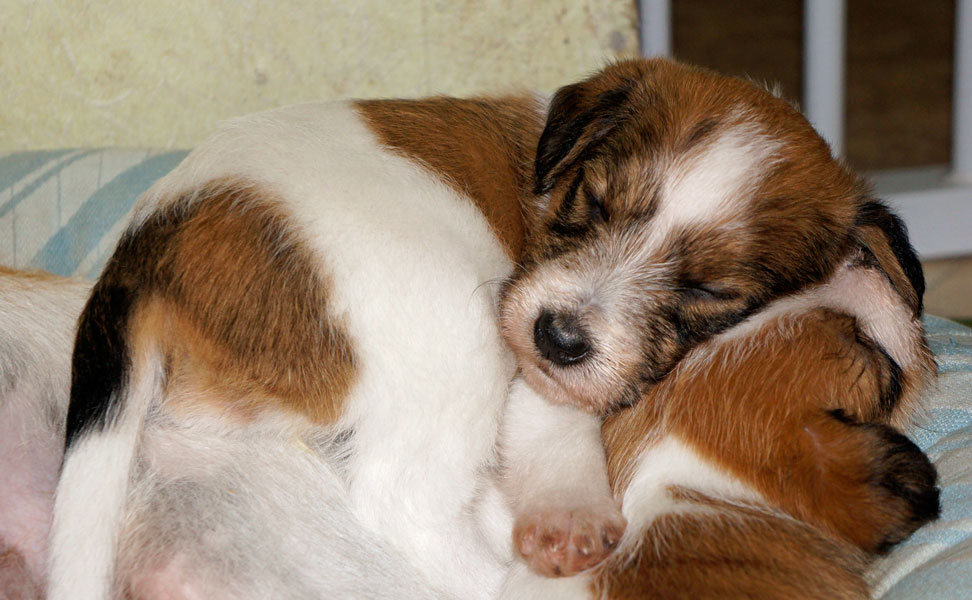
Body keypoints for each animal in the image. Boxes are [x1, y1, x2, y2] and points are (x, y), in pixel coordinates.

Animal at [34, 58, 937, 599]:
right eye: (592, 204)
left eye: (711, 289)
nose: (557, 339)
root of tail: (151, 248)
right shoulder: (530, 350)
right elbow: (562, 425)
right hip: (453, 330)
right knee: (402, 502)